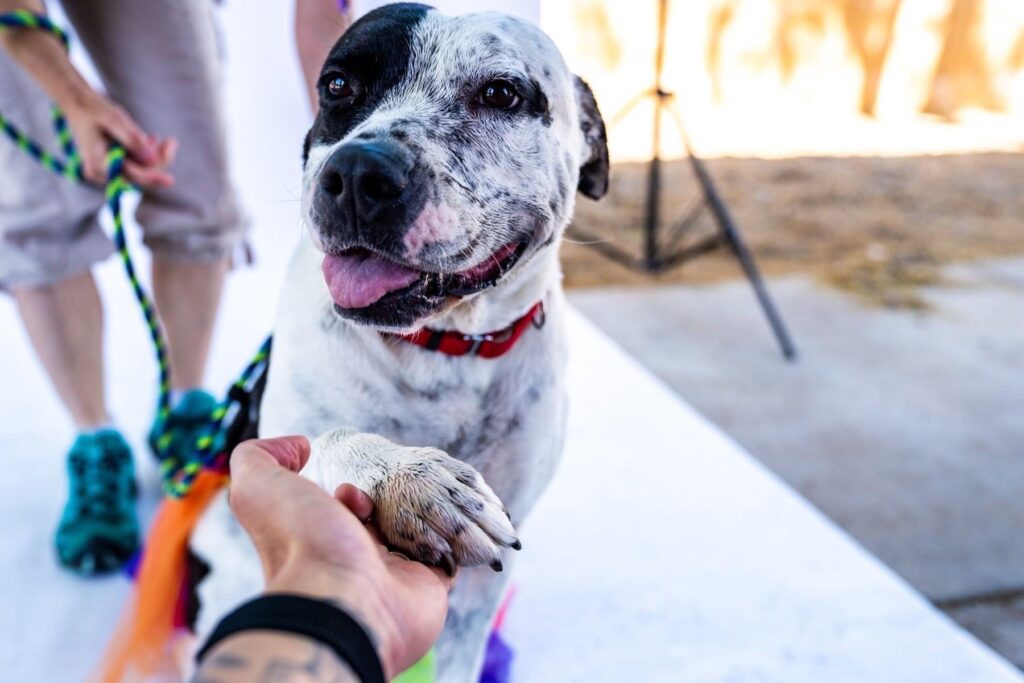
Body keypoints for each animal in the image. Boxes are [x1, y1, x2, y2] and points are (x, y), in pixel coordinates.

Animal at [190, 4, 608, 680]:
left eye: (501, 93)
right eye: (338, 85)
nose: (359, 171)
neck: (443, 346)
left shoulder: (479, 593)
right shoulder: (283, 442)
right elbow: (331, 438)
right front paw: (407, 477)